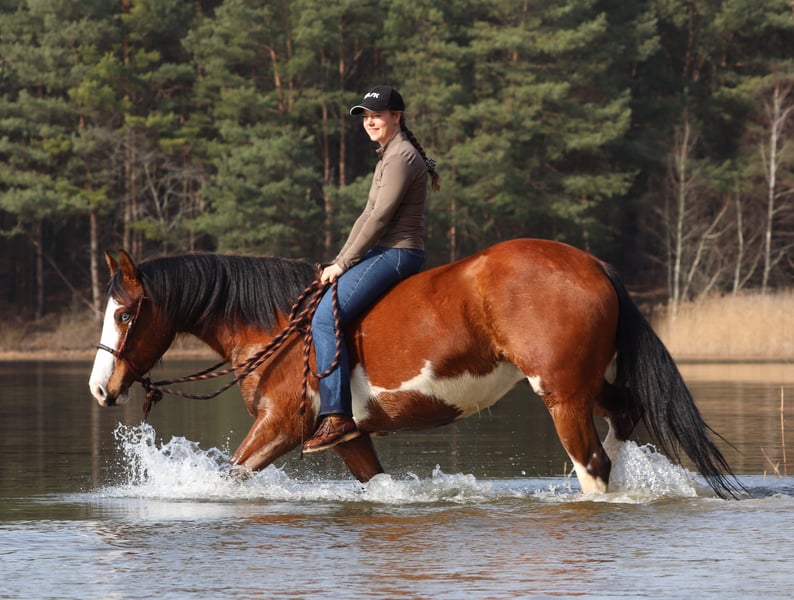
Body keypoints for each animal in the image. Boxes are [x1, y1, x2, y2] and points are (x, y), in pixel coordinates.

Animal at [88, 238, 742, 498]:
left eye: (122, 314)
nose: (100, 389)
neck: (276, 327)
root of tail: (592, 265)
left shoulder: (280, 427)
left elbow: (229, 476)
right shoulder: (348, 435)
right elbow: (377, 482)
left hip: (561, 394)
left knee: (593, 465)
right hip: (590, 385)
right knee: (626, 418)